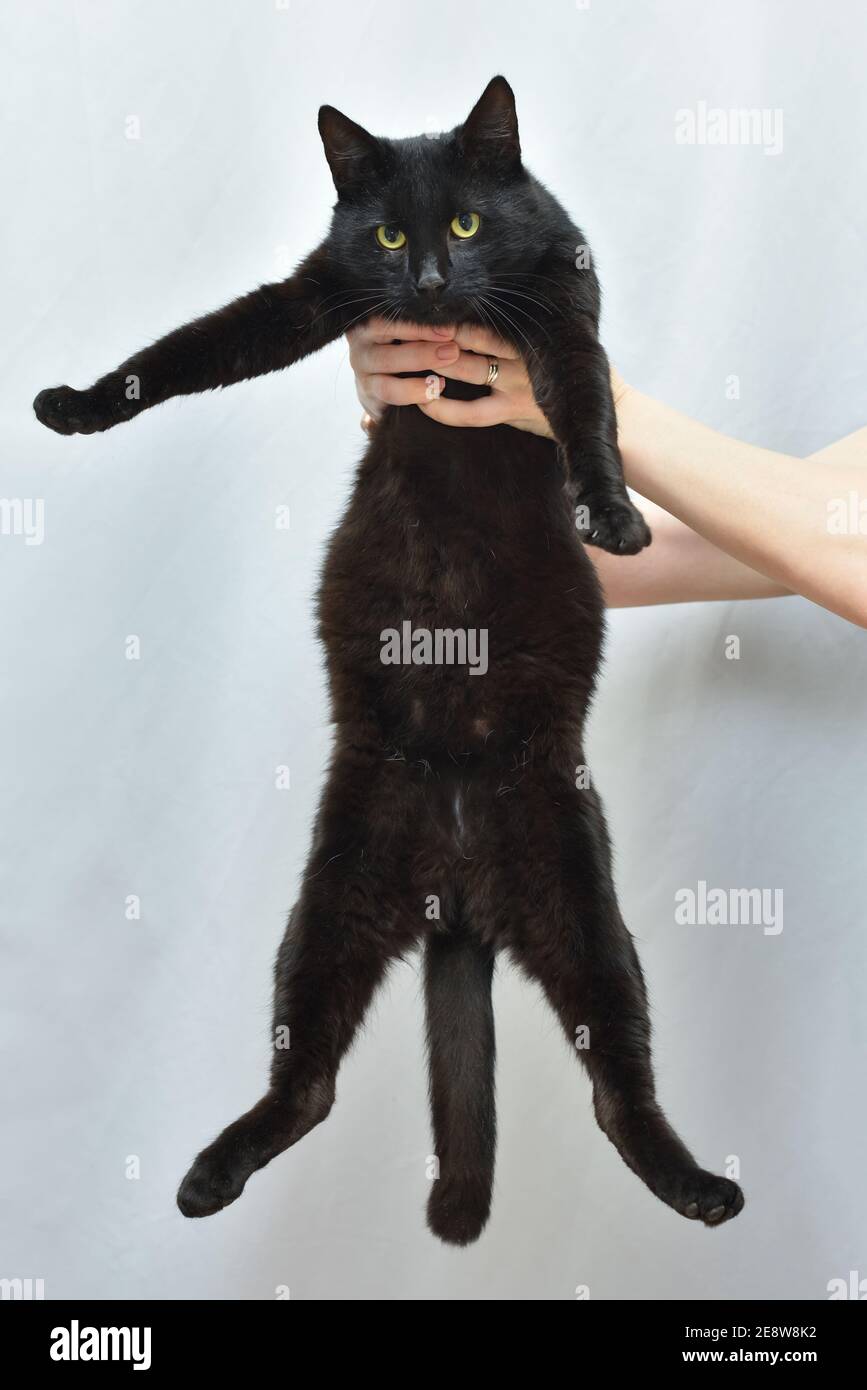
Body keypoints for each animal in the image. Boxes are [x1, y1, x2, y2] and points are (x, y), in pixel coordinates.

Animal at [35, 81, 744, 1245]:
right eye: (389, 236)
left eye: (464, 222)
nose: (429, 280)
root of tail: (455, 895)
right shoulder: (311, 295)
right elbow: (191, 348)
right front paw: (78, 405)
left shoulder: (563, 313)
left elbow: (589, 408)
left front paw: (610, 514)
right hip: (325, 910)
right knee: (308, 1080)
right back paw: (207, 1178)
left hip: (589, 918)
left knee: (618, 1086)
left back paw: (700, 1188)